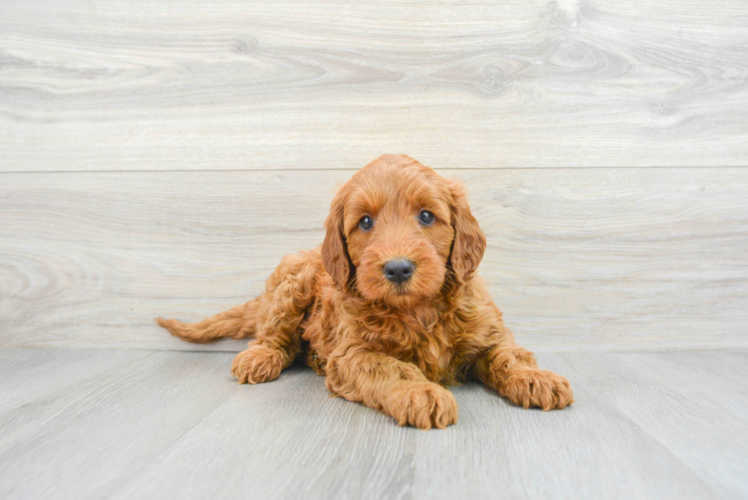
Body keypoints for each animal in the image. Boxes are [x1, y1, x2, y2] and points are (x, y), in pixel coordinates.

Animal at [161, 154, 576, 428]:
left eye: (427, 216)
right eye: (364, 222)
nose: (398, 267)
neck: (417, 309)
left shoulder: (486, 329)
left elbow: (509, 354)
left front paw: (538, 378)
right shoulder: (354, 353)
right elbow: (393, 368)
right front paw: (422, 393)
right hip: (293, 281)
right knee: (275, 336)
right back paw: (261, 357)